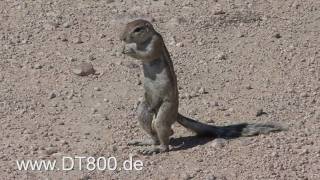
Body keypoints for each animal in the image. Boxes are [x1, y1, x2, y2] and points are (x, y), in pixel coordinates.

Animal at [119, 19, 282, 155]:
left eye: (137, 29)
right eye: (126, 24)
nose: (122, 38)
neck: (143, 41)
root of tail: (175, 113)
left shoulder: (155, 43)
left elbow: (147, 54)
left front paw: (128, 50)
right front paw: (124, 48)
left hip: (165, 109)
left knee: (165, 134)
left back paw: (157, 148)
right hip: (144, 107)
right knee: (156, 131)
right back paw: (144, 142)